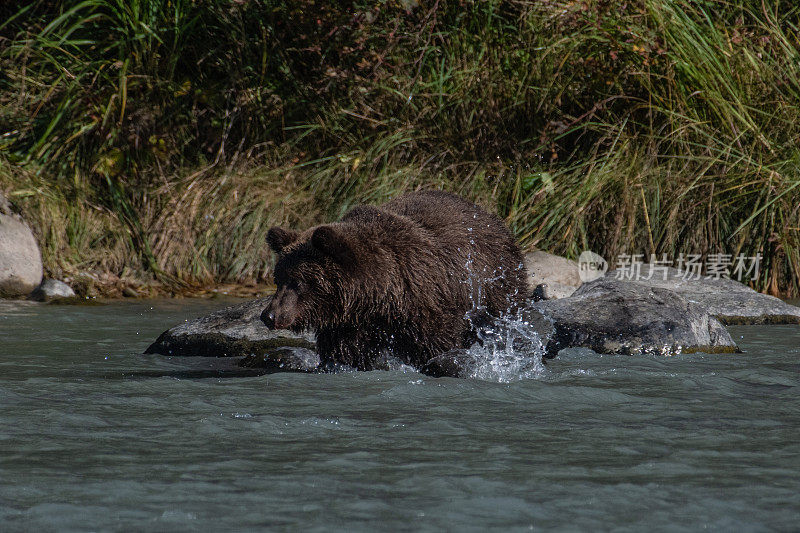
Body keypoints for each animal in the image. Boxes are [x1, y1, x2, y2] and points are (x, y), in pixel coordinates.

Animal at [260, 190, 528, 370]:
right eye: (279, 279)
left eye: (298, 282)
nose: (269, 316)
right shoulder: (349, 327)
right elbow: (344, 356)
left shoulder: (429, 308)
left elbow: (438, 346)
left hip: (497, 283)